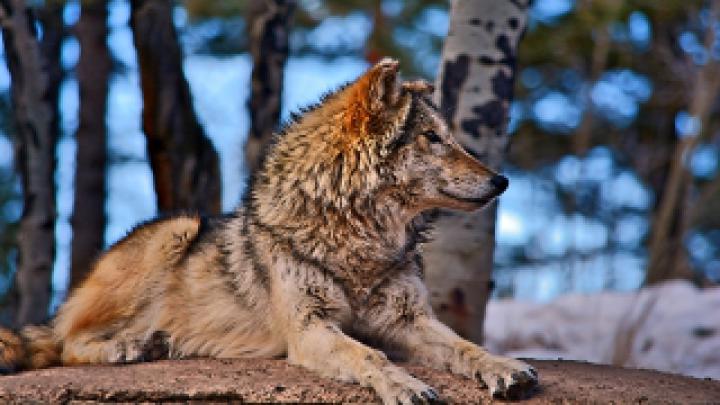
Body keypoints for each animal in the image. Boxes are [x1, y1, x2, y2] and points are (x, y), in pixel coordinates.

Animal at [0, 59, 537, 403]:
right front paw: (404, 384)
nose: (503, 180)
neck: (357, 237)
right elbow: (370, 356)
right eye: (432, 139)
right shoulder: (309, 329)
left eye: (450, 138)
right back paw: (131, 347)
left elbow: (467, 346)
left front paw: (505, 367)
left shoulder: (408, 321)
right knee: (67, 342)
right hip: (177, 228)